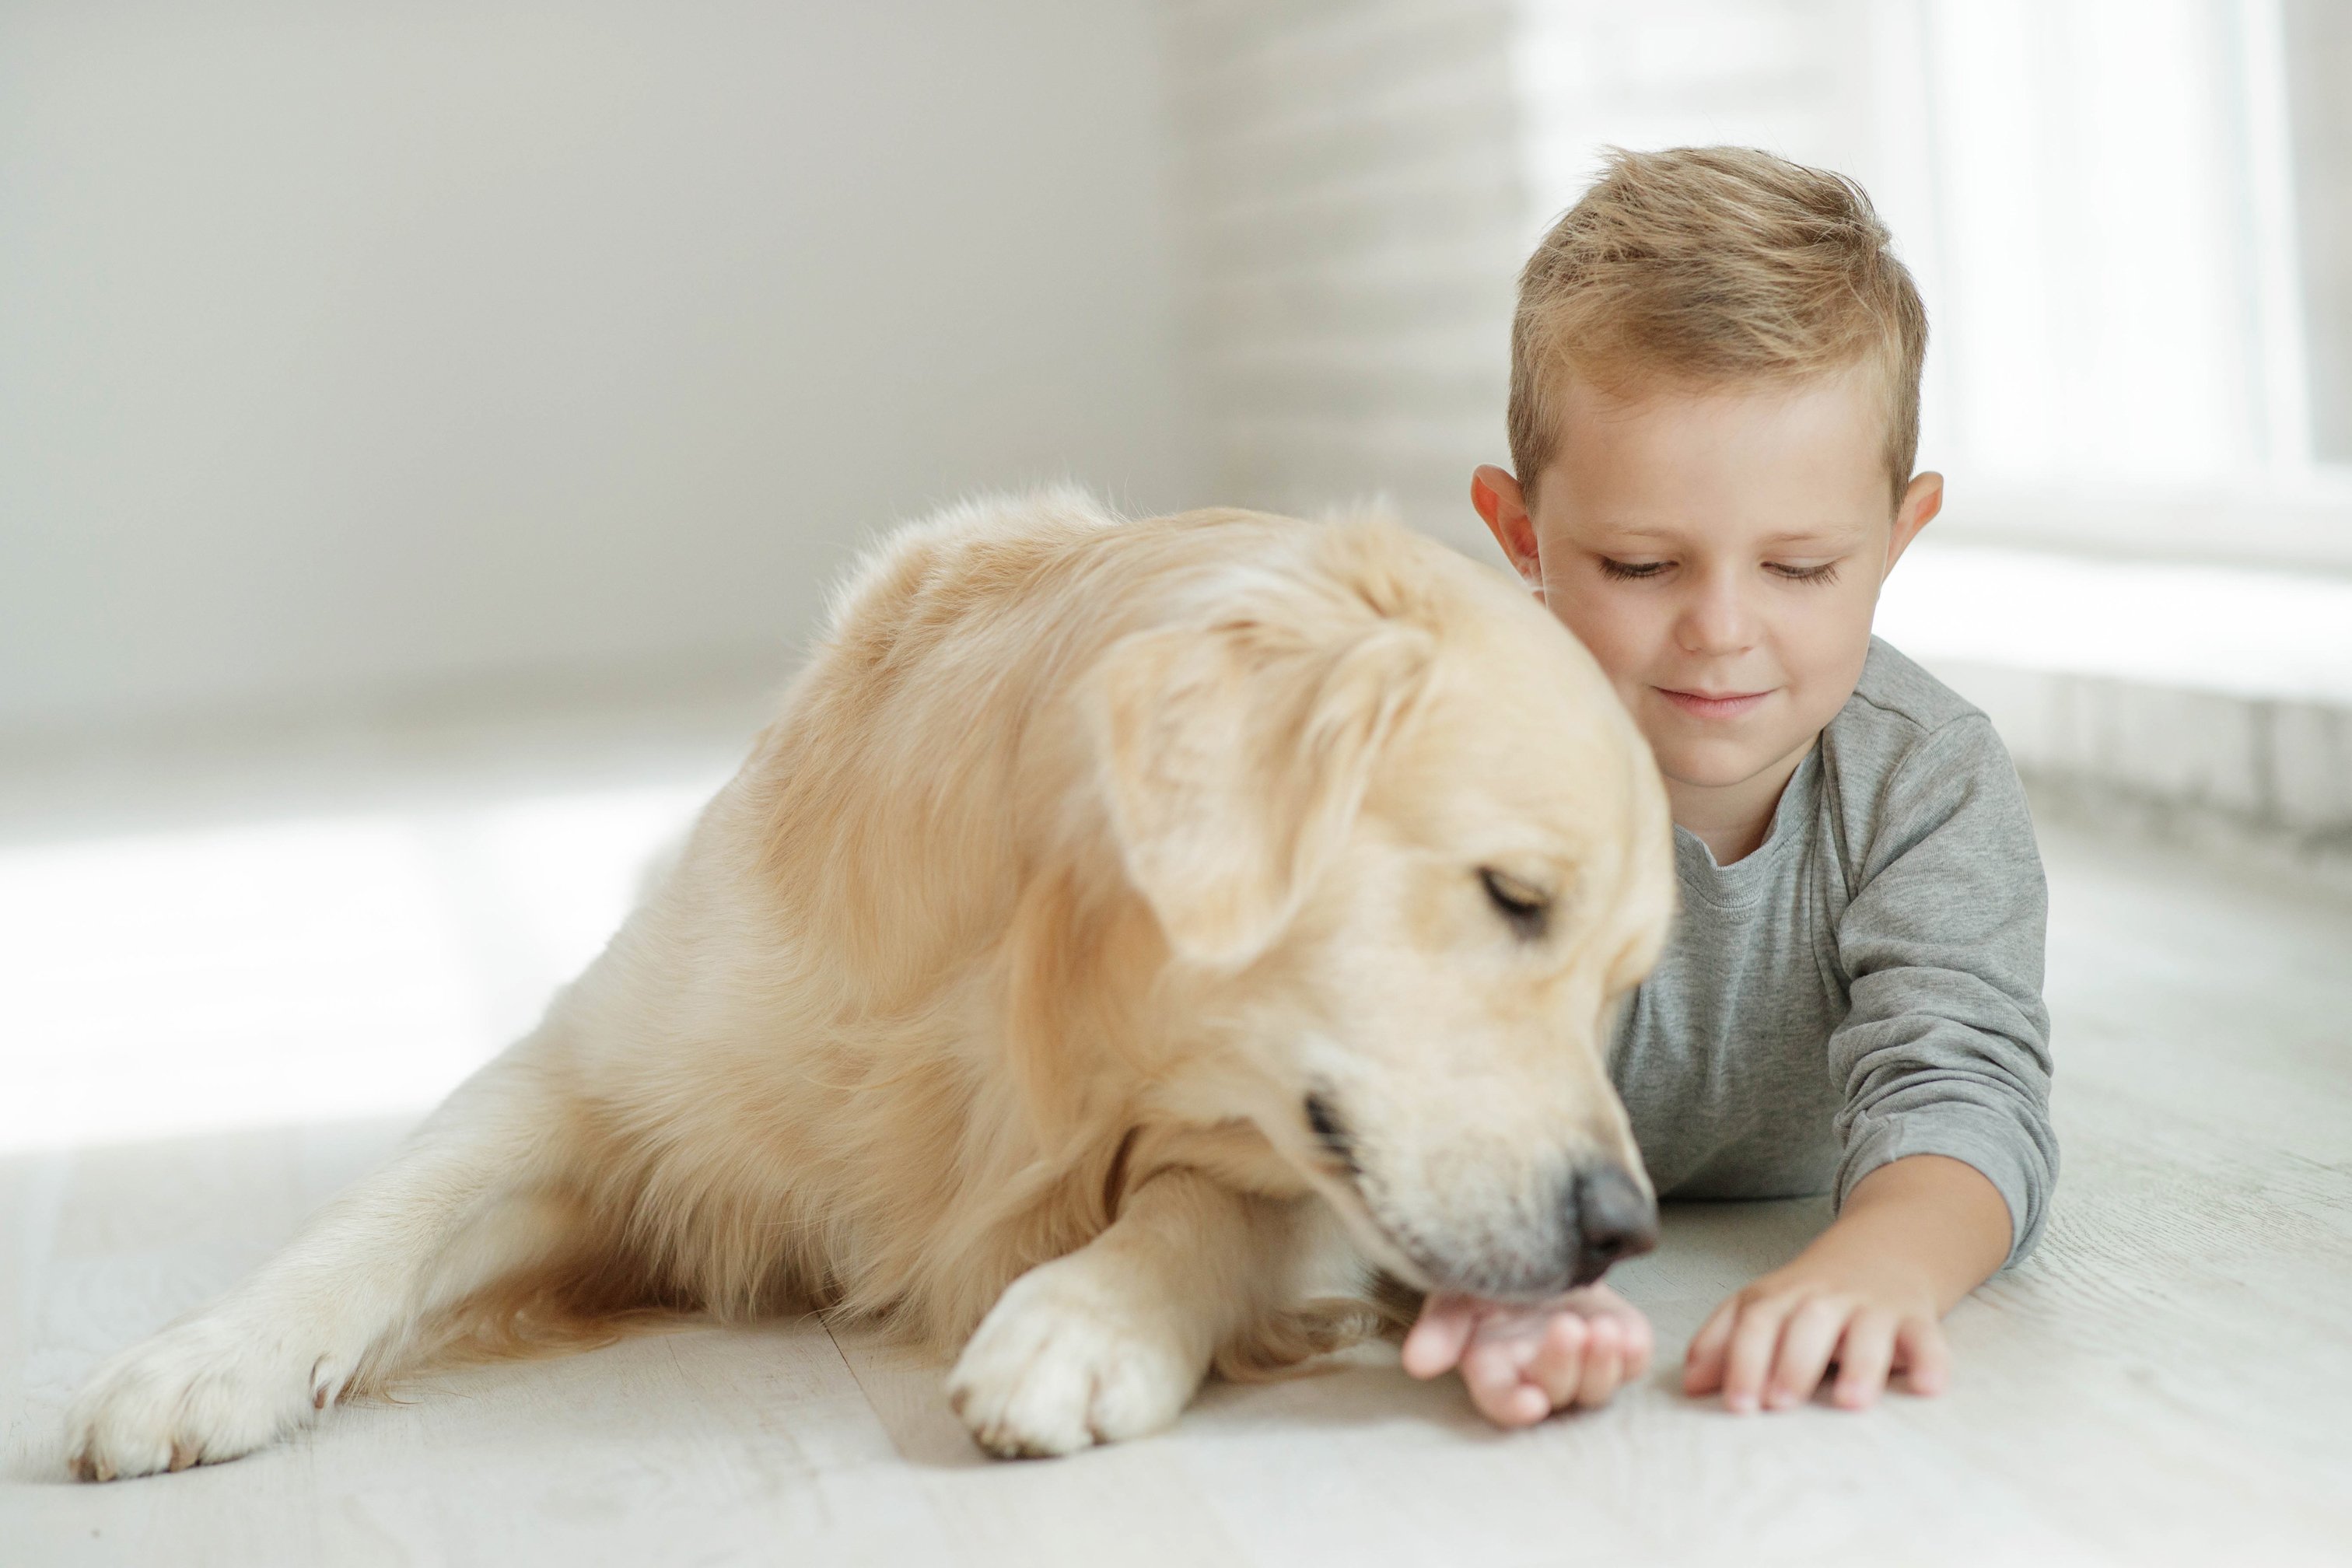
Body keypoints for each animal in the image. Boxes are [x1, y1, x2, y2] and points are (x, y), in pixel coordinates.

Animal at [59, 486, 1675, 1476]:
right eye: (1513, 898)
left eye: (1620, 984)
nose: (1621, 1231)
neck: (1010, 996)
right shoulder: (602, 1085)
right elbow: (392, 1204)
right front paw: (209, 1354)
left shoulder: (1304, 1175)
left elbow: (1207, 1207)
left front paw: (1080, 1320)